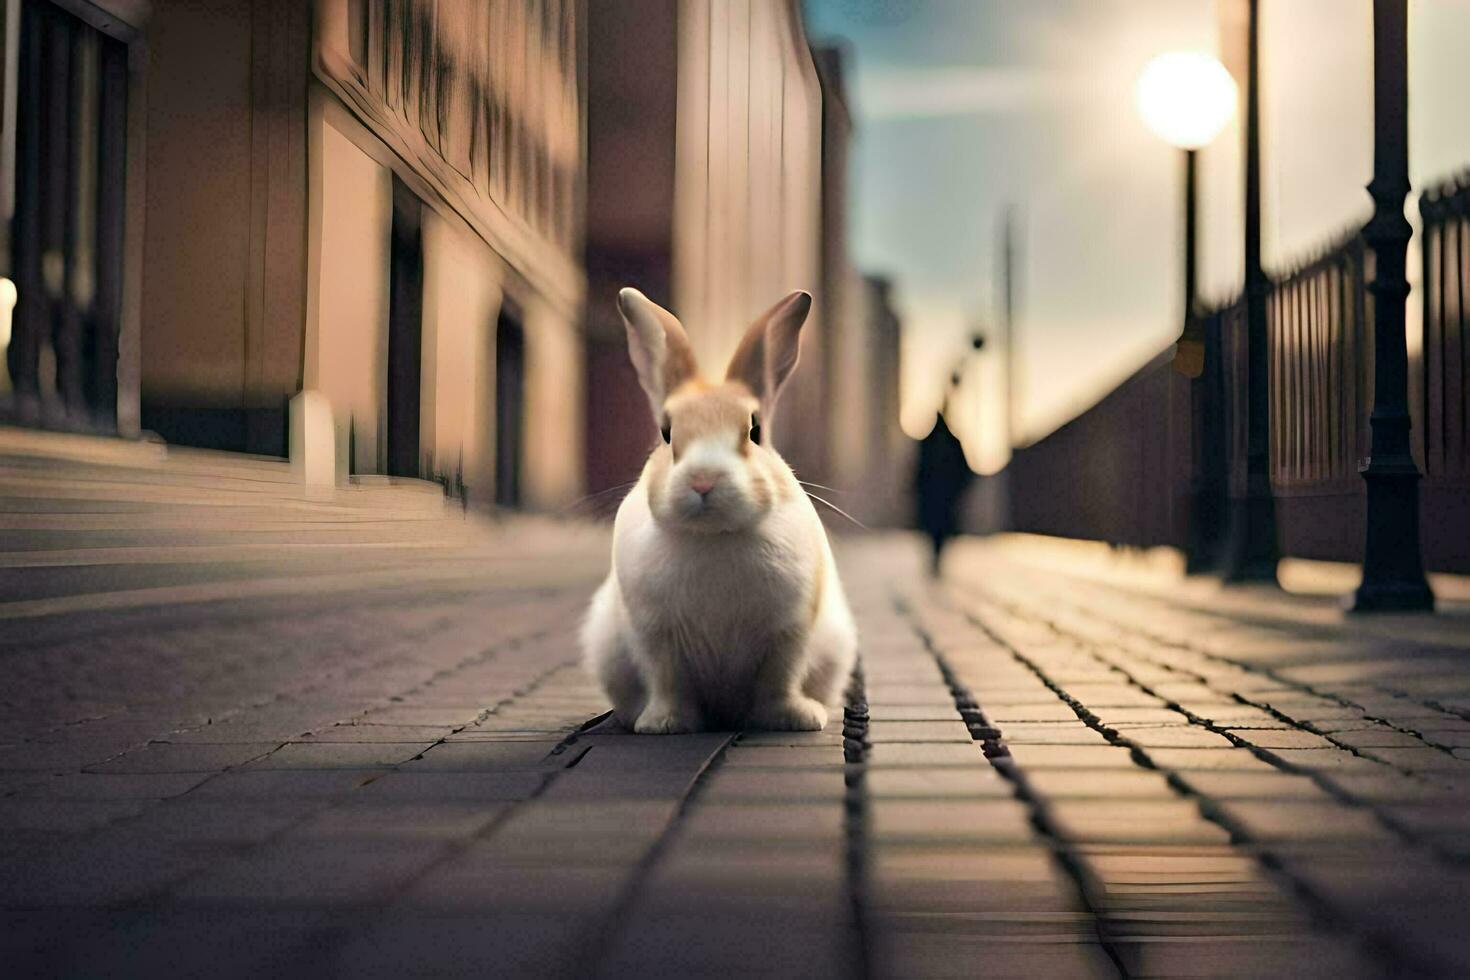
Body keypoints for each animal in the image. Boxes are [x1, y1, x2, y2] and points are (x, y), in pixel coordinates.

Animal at [582, 287, 858, 731]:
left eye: (755, 430)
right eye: (666, 432)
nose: (703, 480)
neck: (714, 537)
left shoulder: (790, 630)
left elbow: (780, 677)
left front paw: (793, 719)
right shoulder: (655, 635)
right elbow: (667, 679)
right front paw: (665, 724)